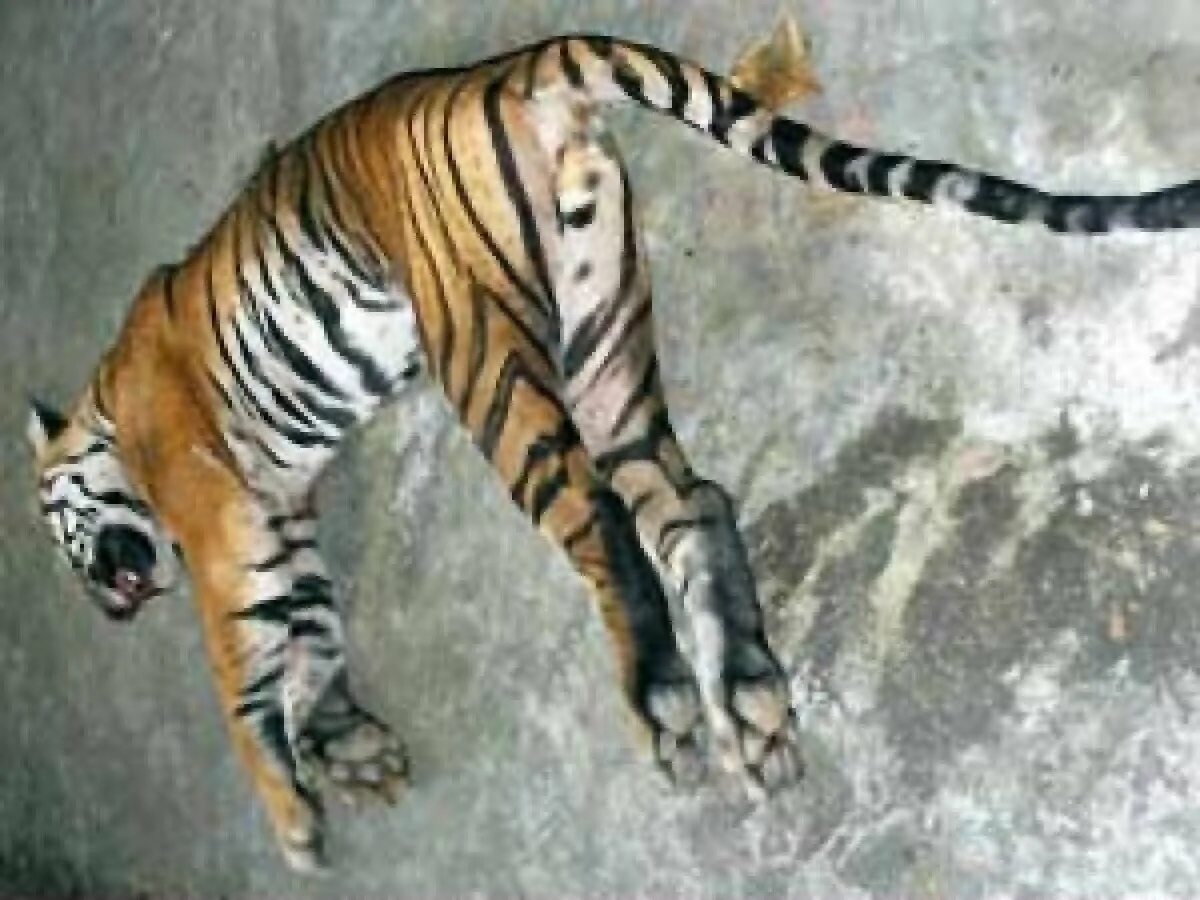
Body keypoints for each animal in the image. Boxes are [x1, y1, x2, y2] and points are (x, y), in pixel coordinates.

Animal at [26, 21, 1200, 871]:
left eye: (49, 533)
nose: (102, 607)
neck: (106, 409)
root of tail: (506, 71)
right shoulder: (283, 531)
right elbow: (306, 651)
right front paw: (351, 756)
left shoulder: (222, 518)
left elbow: (238, 677)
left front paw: (295, 821)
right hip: (599, 330)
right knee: (691, 501)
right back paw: (751, 705)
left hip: (485, 354)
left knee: (596, 511)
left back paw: (666, 701)